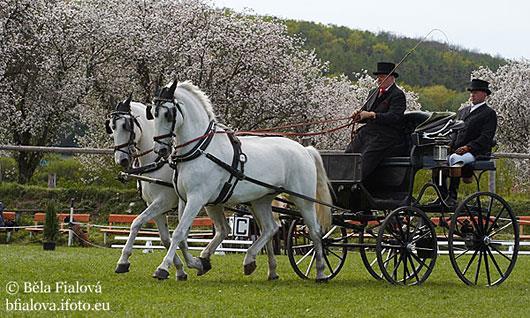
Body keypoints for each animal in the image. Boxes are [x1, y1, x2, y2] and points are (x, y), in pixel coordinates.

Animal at [105, 95, 231, 280]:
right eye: (112, 127)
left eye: (126, 126)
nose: (121, 160)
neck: (156, 162)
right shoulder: (155, 206)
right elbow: (165, 238)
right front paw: (180, 269)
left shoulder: (163, 201)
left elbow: (137, 223)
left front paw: (123, 261)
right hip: (212, 203)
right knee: (224, 230)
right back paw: (204, 260)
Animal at [148, 80, 330, 282]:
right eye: (153, 113)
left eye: (168, 114)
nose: (160, 150)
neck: (200, 149)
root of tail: (304, 149)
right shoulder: (186, 199)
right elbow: (183, 236)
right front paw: (198, 263)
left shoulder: (197, 198)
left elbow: (179, 233)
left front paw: (163, 268)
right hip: (261, 200)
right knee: (270, 228)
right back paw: (255, 263)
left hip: (303, 200)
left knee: (314, 231)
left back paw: (320, 271)